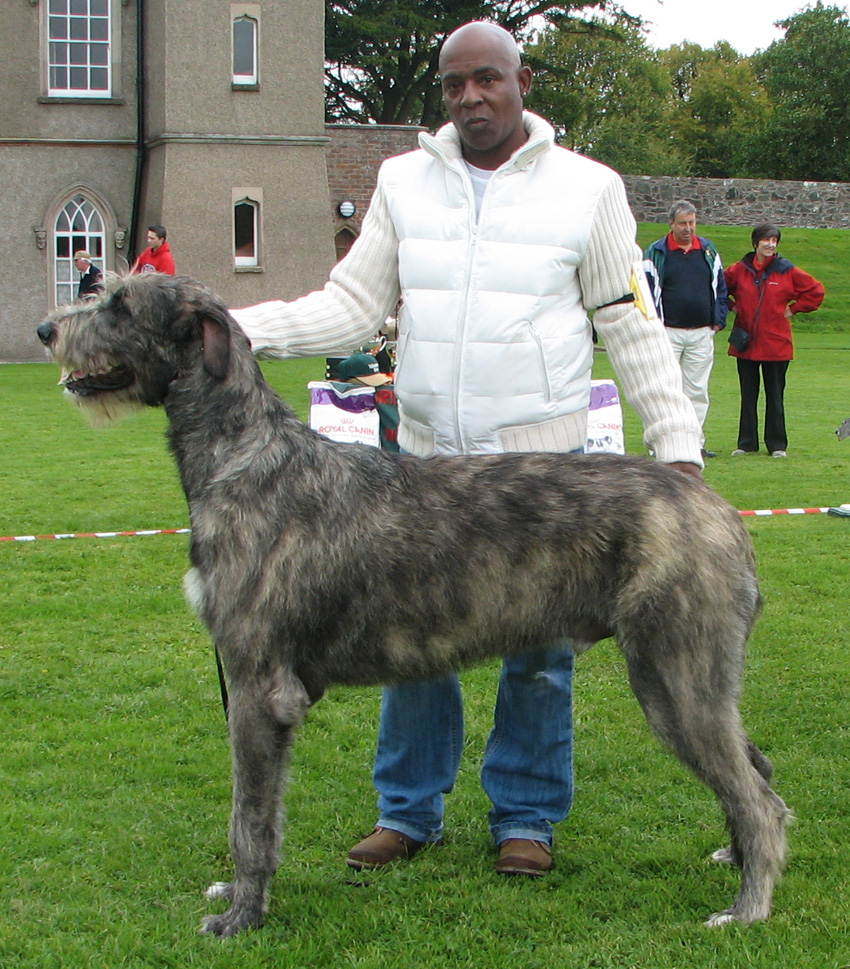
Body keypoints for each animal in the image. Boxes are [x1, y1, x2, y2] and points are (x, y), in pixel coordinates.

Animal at [36, 274, 784, 936]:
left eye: (121, 303)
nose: (46, 330)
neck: (244, 457)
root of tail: (720, 510)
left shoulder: (258, 687)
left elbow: (249, 818)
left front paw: (241, 916)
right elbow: (261, 813)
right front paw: (240, 898)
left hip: (675, 675)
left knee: (759, 799)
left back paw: (746, 907)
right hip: (696, 677)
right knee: (758, 770)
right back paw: (738, 862)